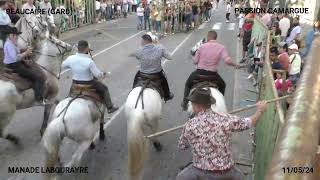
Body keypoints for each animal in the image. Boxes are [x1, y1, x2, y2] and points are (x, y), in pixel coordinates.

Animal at [0, 16, 72, 144]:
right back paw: (15, 139)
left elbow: (57, 102)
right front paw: (43, 131)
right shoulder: (50, 98)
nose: (69, 46)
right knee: (2, 133)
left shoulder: (50, 98)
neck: (47, 68)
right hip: (6, 115)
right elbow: (46, 115)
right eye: (57, 41)